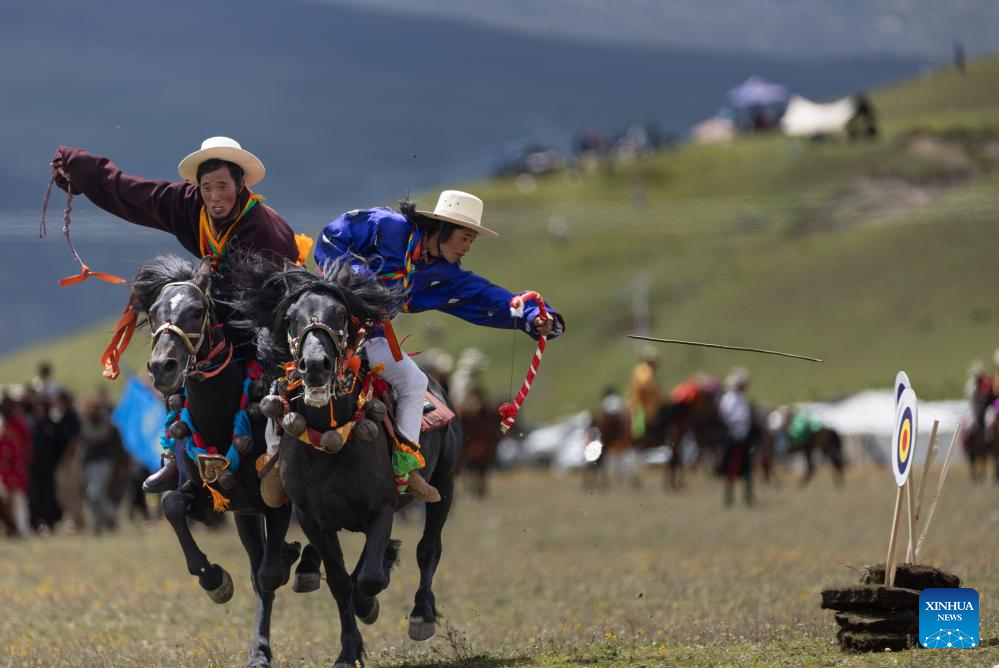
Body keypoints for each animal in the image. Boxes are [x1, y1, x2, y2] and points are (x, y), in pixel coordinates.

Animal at [133, 254, 310, 664]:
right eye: (153, 311)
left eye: (197, 311)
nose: (162, 367)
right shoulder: (212, 499)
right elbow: (171, 504)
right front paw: (214, 579)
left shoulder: (278, 501)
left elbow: (269, 574)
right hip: (246, 516)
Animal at [235, 256, 464, 668]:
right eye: (291, 317)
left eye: (341, 314)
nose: (315, 365)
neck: (331, 440)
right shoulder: (313, 519)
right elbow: (342, 581)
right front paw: (349, 649)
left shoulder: (382, 508)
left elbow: (369, 578)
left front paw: (370, 605)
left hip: (445, 484)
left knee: (429, 548)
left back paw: (421, 615)